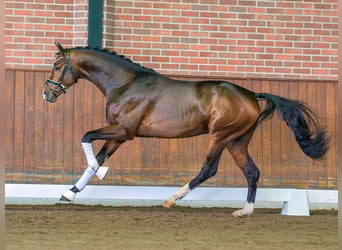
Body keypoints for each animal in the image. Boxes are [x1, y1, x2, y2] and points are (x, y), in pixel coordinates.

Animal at [42, 44, 328, 218]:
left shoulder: (123, 131)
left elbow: (87, 138)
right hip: (237, 141)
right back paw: (245, 211)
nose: (47, 94)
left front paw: (96, 175)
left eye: (57, 66)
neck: (126, 84)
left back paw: (172, 198)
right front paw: (69, 192)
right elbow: (98, 156)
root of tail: (251, 95)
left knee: (208, 169)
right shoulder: (118, 135)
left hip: (220, 136)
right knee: (252, 172)